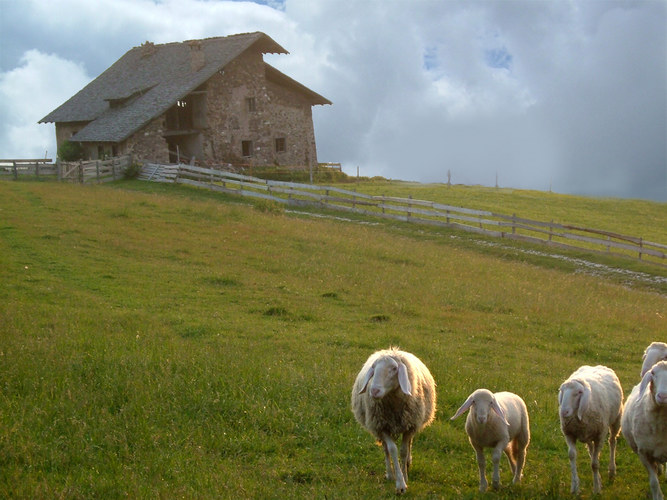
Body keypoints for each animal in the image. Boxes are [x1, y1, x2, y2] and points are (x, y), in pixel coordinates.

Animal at [350, 350, 438, 494]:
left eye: (394, 369)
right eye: (373, 368)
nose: (374, 391)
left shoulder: (409, 425)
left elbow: (403, 450)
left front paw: (405, 476)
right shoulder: (382, 426)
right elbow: (392, 450)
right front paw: (400, 483)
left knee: (409, 443)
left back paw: (407, 462)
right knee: (386, 449)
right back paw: (390, 474)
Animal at [560, 364, 628, 496]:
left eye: (579, 392)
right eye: (562, 391)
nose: (563, 412)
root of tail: (598, 365)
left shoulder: (600, 435)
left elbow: (595, 464)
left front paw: (596, 489)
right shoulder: (569, 434)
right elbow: (572, 456)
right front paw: (575, 487)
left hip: (616, 420)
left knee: (612, 441)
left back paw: (612, 471)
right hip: (589, 432)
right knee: (591, 449)